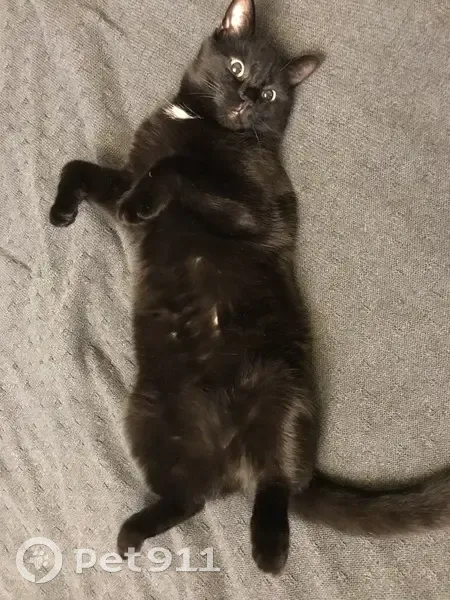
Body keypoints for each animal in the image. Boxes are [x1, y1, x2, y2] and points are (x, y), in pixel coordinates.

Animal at [50, 0, 450, 575]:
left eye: (271, 95)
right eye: (238, 69)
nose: (245, 99)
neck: (200, 125)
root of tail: (232, 454)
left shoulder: (256, 212)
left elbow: (177, 169)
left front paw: (144, 200)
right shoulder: (125, 175)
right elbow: (79, 165)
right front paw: (61, 211)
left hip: (282, 396)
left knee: (276, 482)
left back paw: (269, 548)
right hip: (145, 418)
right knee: (192, 497)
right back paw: (133, 533)